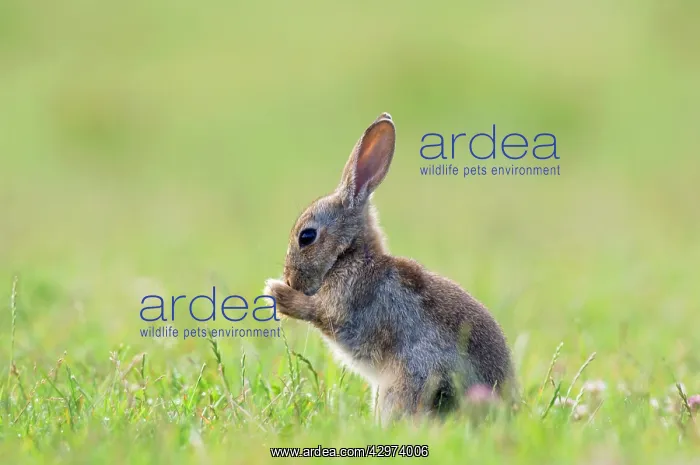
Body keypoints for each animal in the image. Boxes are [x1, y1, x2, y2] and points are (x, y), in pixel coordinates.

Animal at [264, 112, 517, 424]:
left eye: (307, 237)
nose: (290, 279)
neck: (349, 257)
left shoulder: (345, 308)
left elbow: (316, 312)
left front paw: (276, 293)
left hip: (406, 383)